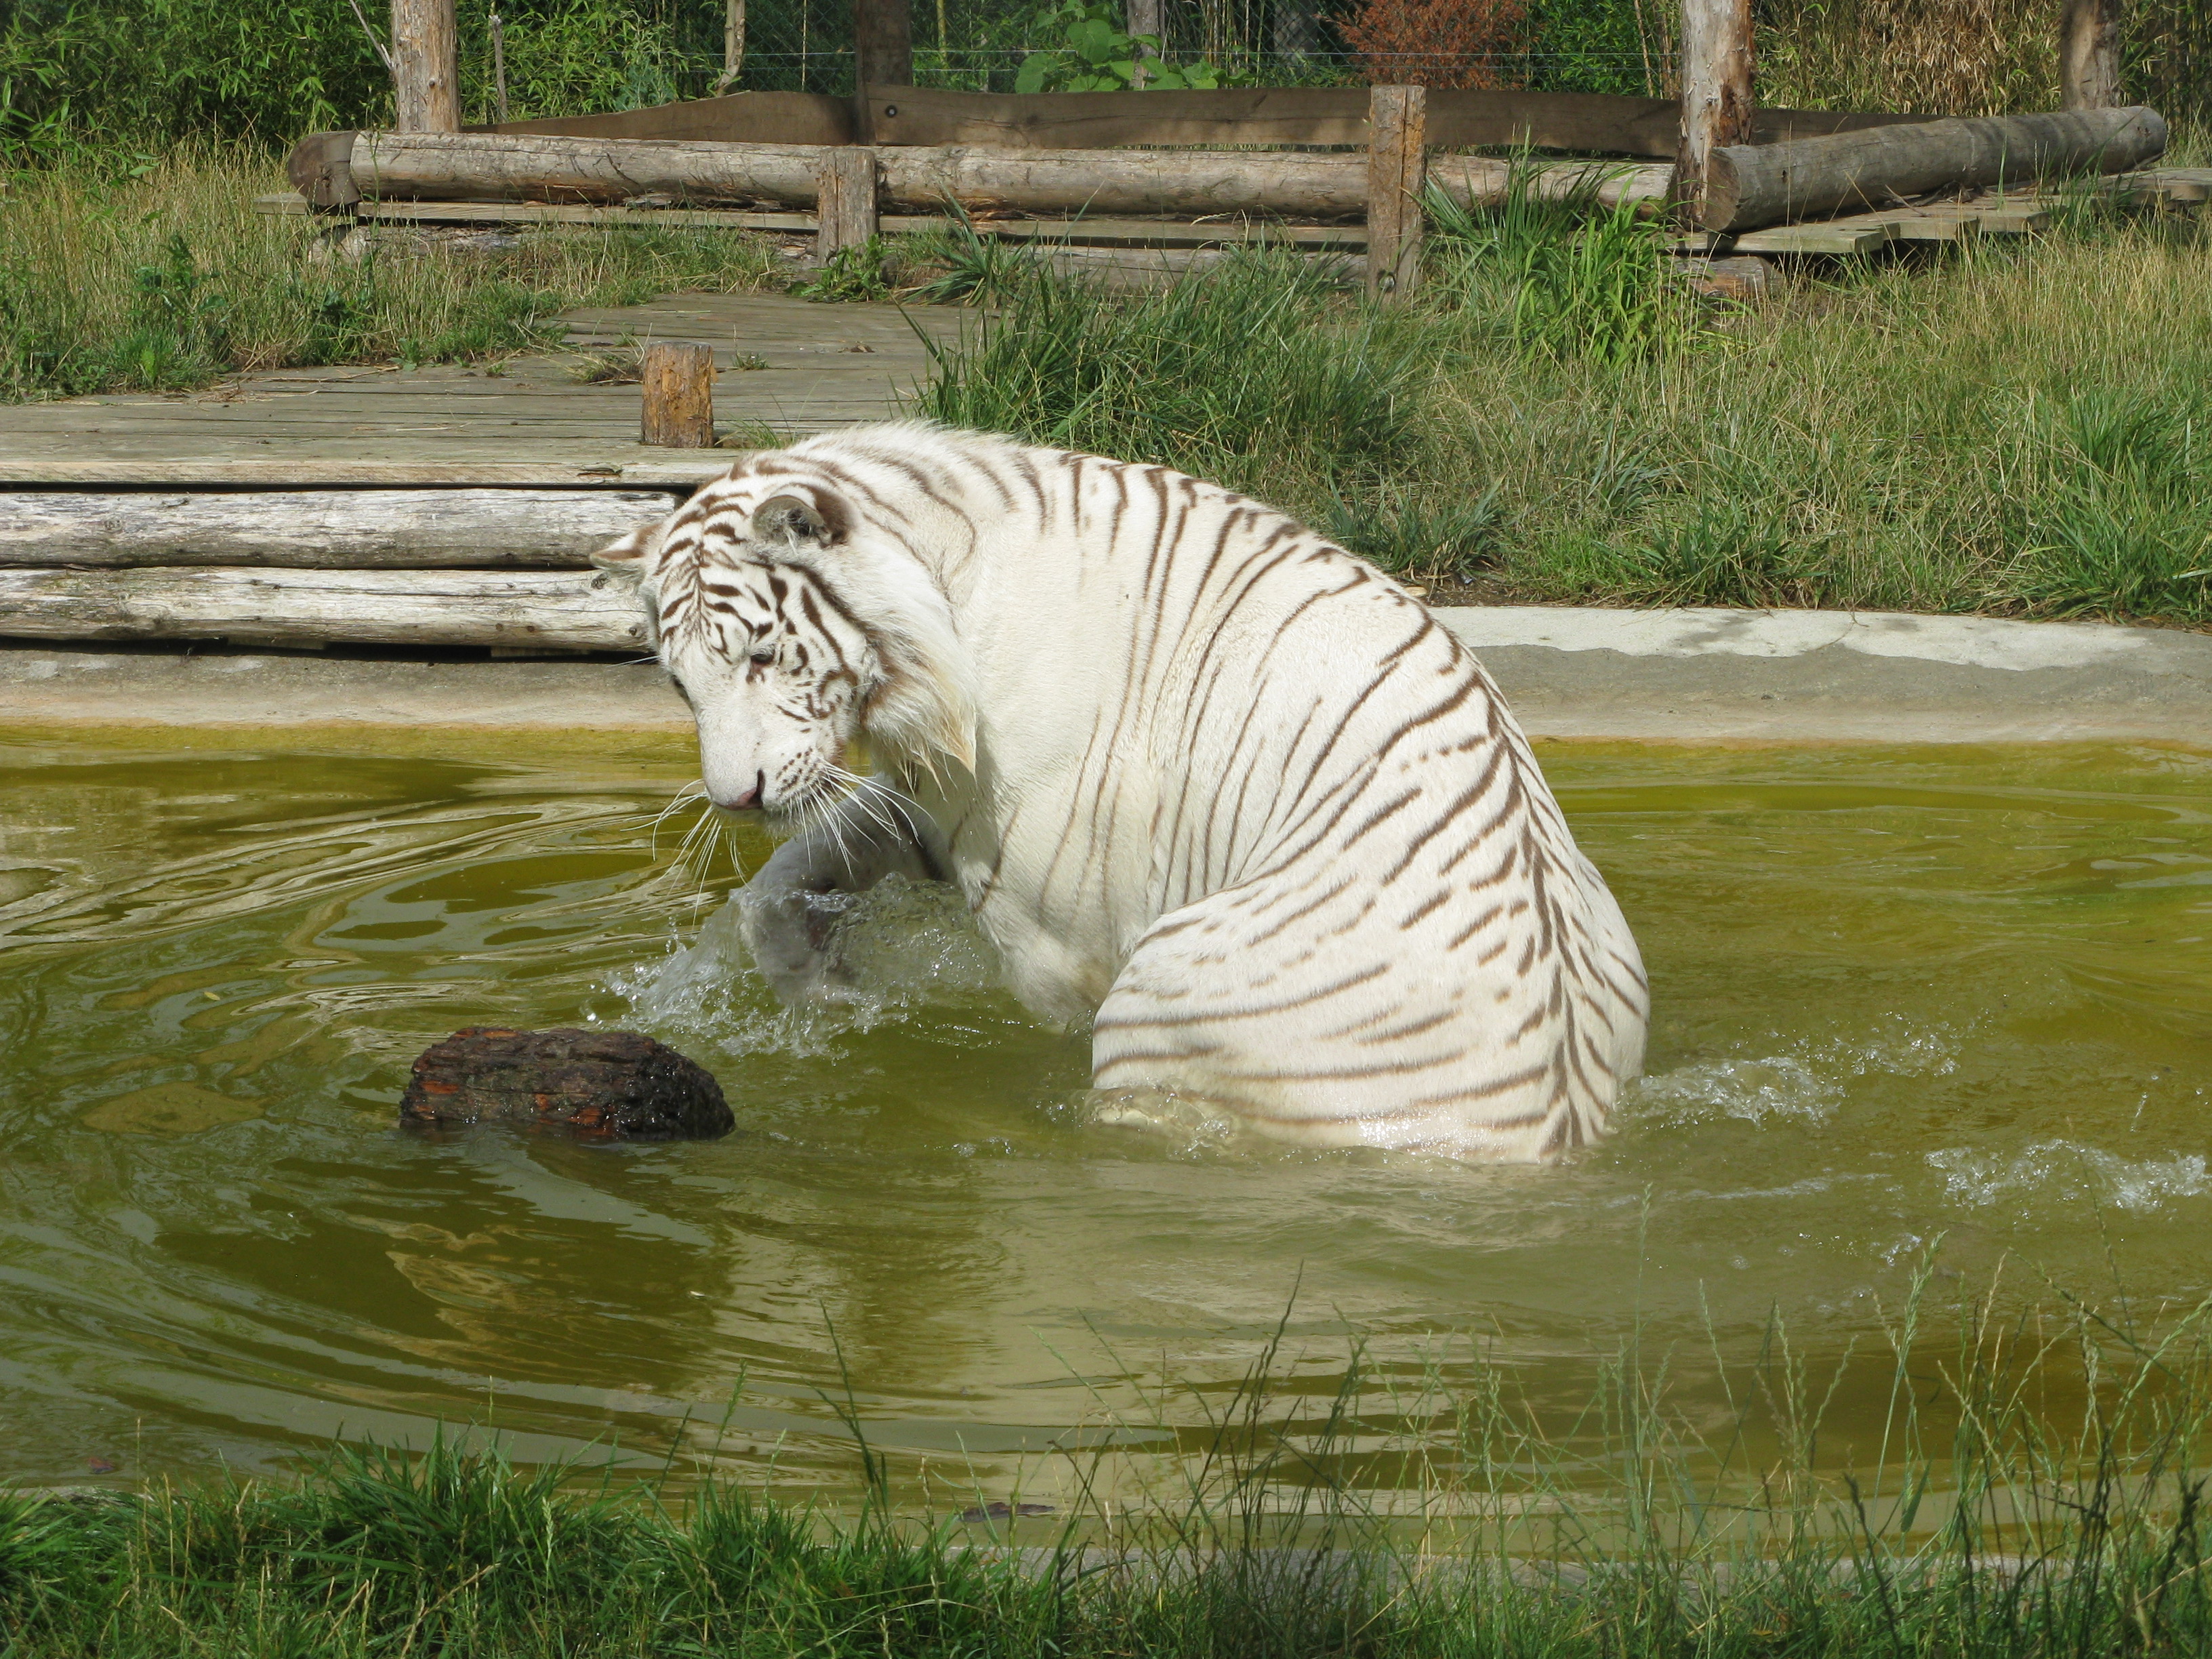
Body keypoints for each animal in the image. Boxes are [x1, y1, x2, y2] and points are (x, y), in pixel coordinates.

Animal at [597, 422, 1654, 1159]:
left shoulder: (1048, 920)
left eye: (762, 656)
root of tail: (1549, 1121)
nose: (735, 799)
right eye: (679, 683)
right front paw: (827, 995)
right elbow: (779, 883)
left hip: (1166, 1004)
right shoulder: (932, 799)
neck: (942, 599)